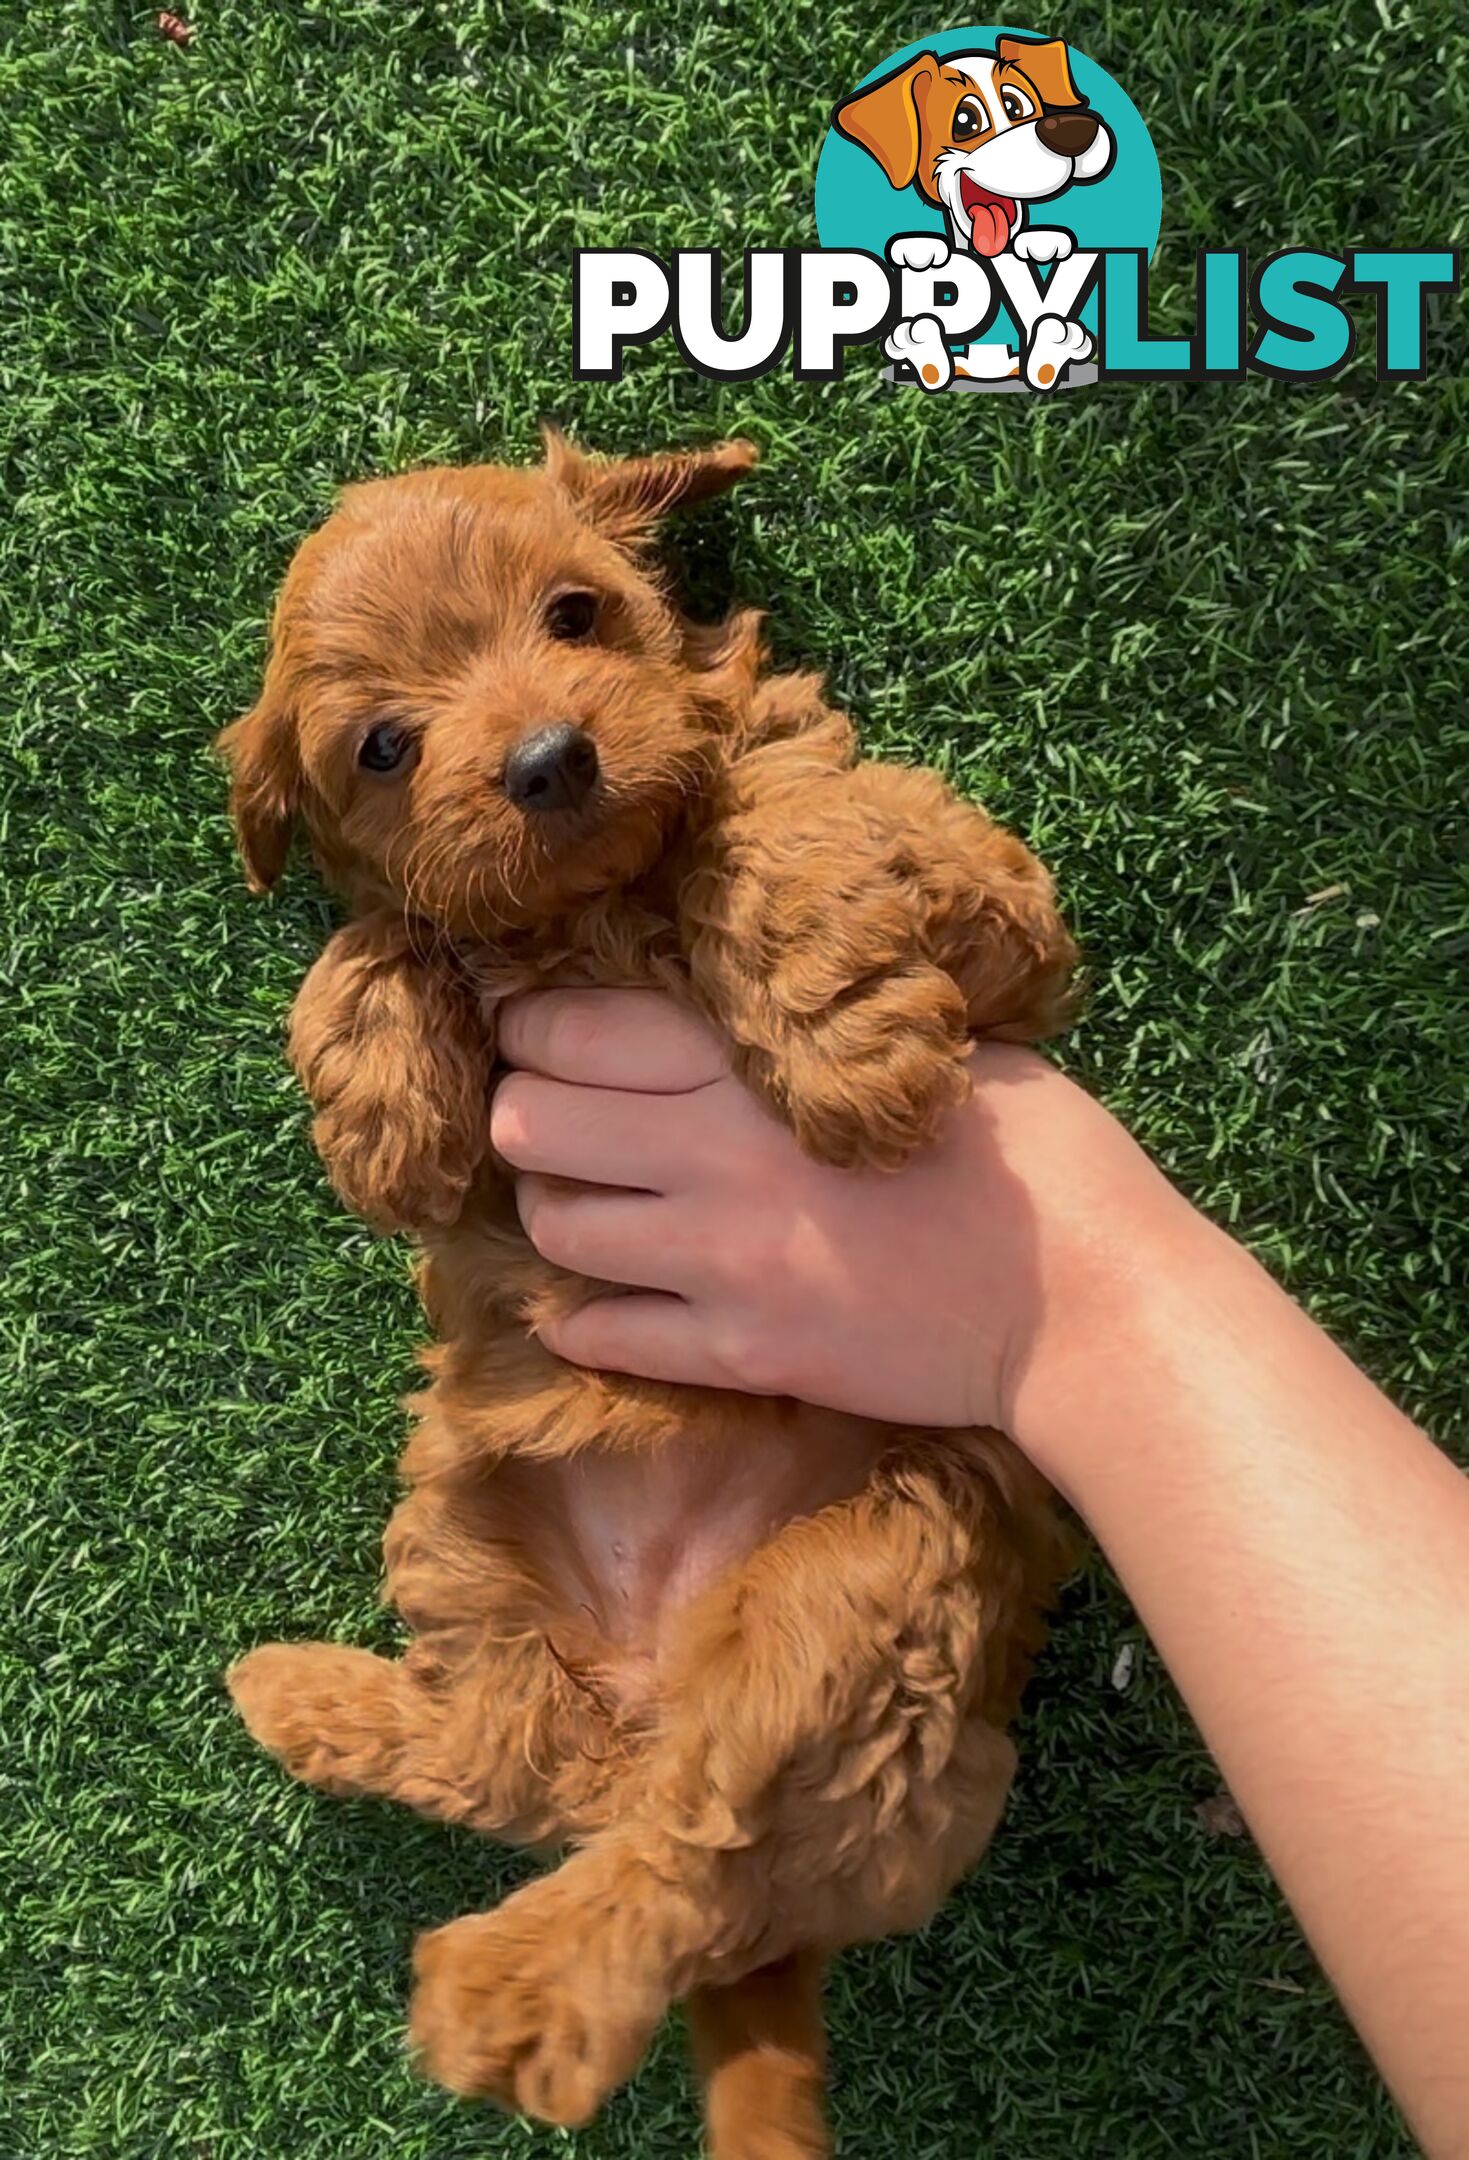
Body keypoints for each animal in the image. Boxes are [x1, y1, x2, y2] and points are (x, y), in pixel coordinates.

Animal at [221, 429, 1080, 2151]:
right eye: (386, 747)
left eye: (577, 614)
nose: (550, 759)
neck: (588, 913)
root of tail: (647, 1693)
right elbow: (383, 935)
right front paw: (380, 1104)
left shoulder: (1012, 939)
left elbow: (780, 810)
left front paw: (850, 1062)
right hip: (461, 1523)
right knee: (511, 1766)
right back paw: (314, 1704)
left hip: (873, 1585)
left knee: (693, 1848)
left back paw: (518, 1996)